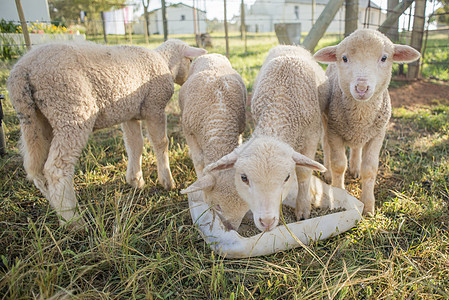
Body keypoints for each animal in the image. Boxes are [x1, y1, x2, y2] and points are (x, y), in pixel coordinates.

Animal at [7, 38, 206, 226]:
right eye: (190, 60)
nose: (186, 80)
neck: (164, 61)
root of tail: (23, 70)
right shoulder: (154, 106)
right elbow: (161, 143)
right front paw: (167, 182)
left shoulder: (130, 114)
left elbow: (135, 145)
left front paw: (135, 180)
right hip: (70, 109)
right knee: (55, 169)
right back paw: (73, 220)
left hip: (35, 119)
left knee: (36, 169)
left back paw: (58, 208)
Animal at [178, 52, 248, 229]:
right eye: (218, 206)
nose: (231, 229)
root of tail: (211, 54)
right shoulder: (189, 132)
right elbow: (198, 161)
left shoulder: (240, 128)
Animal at [197, 45, 326, 232]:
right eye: (244, 178)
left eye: (287, 177)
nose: (266, 222)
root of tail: (289, 45)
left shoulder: (311, 135)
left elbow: (303, 174)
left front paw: (303, 208)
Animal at [312, 28, 420, 216]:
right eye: (345, 58)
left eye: (384, 58)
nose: (361, 88)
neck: (360, 116)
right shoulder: (334, 131)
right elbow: (339, 164)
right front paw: (339, 191)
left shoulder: (378, 134)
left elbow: (369, 169)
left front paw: (369, 207)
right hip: (326, 121)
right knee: (326, 146)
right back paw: (328, 173)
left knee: (356, 148)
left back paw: (355, 169)